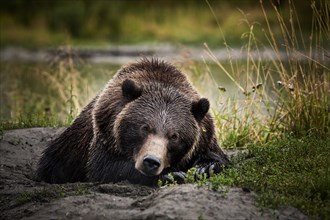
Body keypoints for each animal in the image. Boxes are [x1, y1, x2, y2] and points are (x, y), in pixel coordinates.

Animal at [35, 58, 227, 186]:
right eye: (145, 127)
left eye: (174, 136)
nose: (151, 161)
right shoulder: (105, 132)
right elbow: (104, 167)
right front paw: (171, 174)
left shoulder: (205, 136)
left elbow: (218, 158)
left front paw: (206, 167)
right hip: (66, 151)